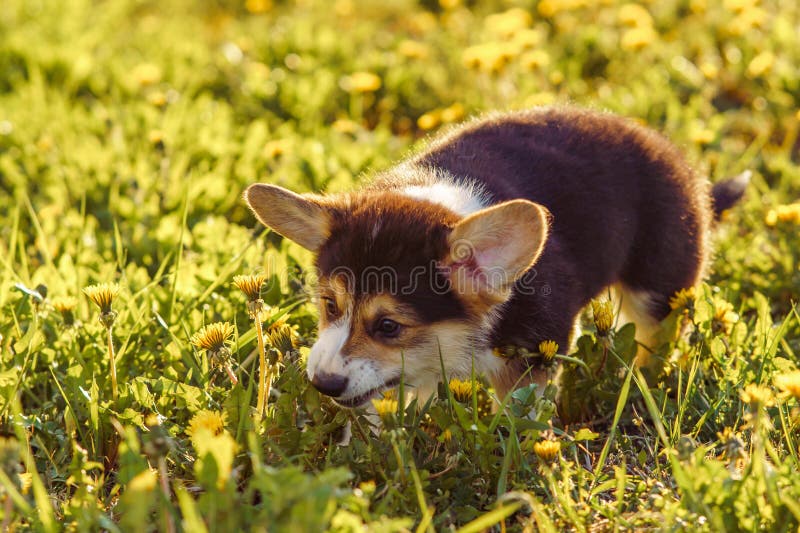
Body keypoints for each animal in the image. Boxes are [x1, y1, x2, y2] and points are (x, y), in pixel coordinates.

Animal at [245, 107, 752, 408]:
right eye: (330, 305)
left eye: (388, 326)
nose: (322, 384)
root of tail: (683, 165)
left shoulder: (536, 351)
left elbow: (520, 412)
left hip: (661, 282)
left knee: (657, 333)